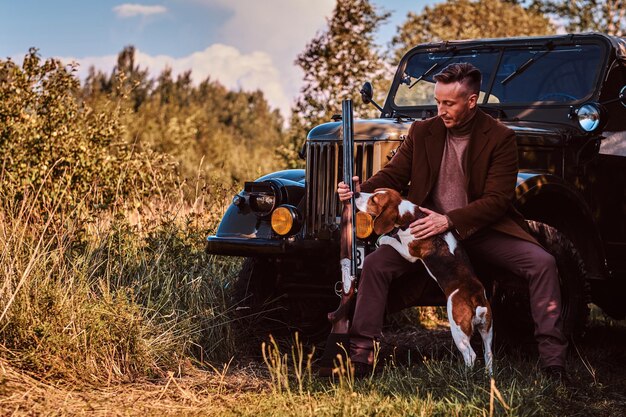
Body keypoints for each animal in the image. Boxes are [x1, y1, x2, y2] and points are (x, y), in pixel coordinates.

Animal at [354, 187, 490, 372]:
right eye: (373, 191)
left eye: (374, 200)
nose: (355, 194)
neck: (412, 215)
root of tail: (475, 298)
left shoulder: (408, 252)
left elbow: (392, 240)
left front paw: (383, 239)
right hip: (487, 330)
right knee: (489, 354)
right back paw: (489, 374)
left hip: (458, 330)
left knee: (471, 355)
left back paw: (465, 374)